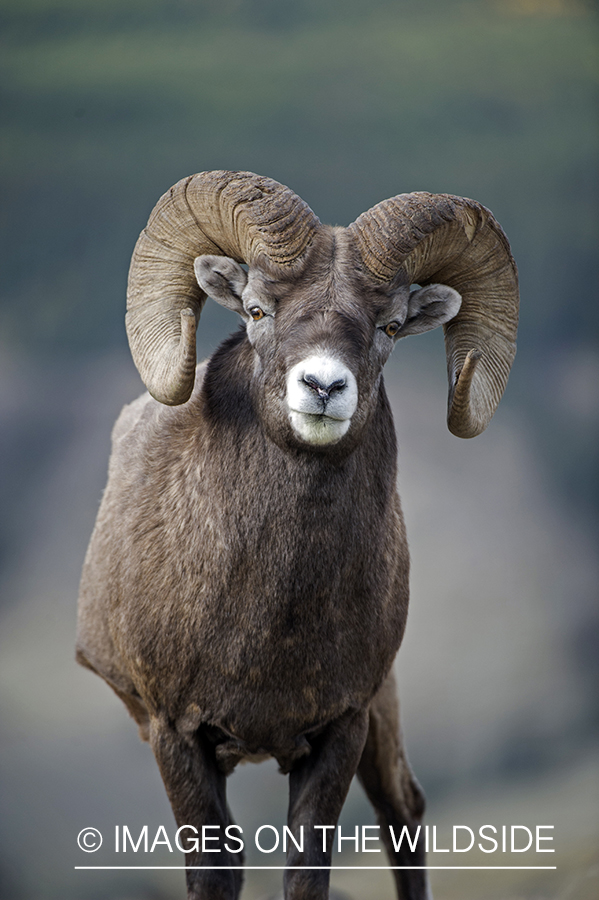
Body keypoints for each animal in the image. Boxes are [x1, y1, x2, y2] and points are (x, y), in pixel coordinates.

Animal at [76, 170, 519, 900]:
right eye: (257, 311)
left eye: (389, 326)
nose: (322, 385)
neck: (269, 622)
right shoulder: (176, 736)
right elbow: (215, 874)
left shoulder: (341, 728)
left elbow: (307, 873)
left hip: (381, 716)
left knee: (403, 808)